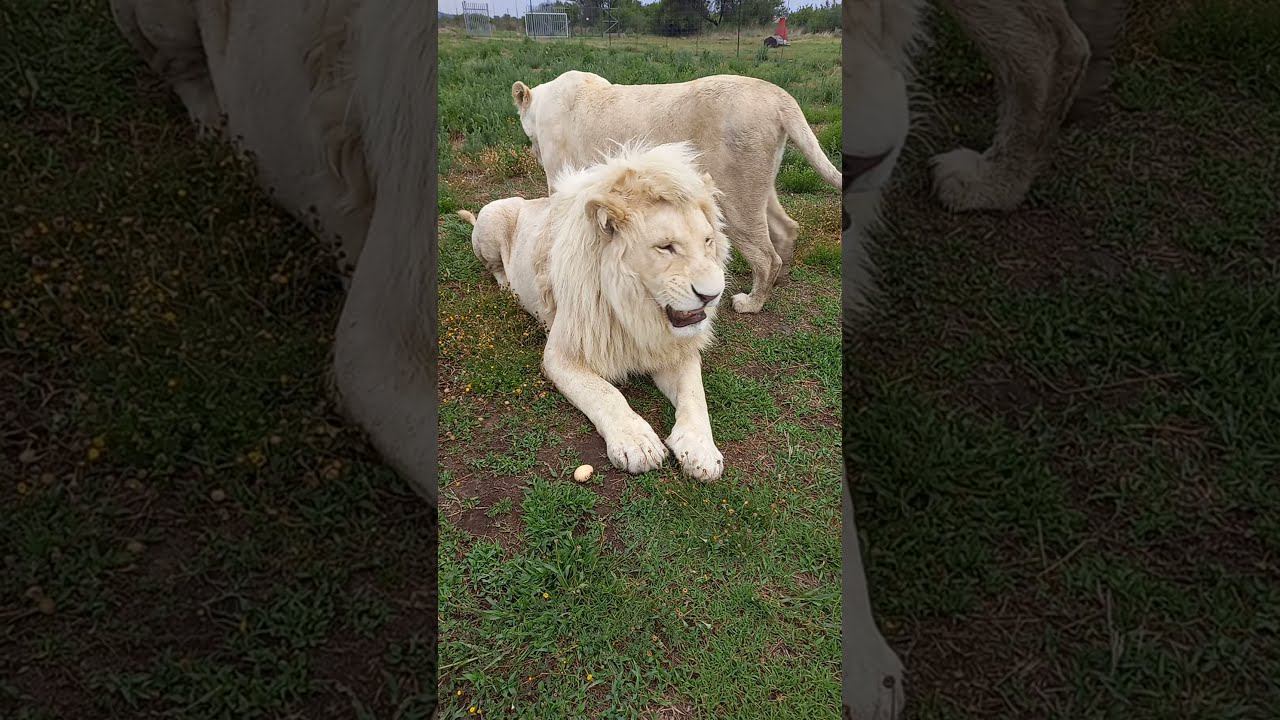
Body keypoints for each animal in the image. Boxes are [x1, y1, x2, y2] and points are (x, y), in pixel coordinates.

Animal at [456, 142, 731, 481]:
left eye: (708, 241)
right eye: (665, 247)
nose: (712, 296)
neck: (633, 311)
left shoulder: (673, 348)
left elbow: (695, 394)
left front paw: (701, 449)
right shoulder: (561, 354)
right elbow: (604, 393)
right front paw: (637, 443)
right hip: (492, 216)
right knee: (495, 269)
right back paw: (509, 288)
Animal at [509, 71, 846, 317]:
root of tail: (779, 96)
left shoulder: (560, 180)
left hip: (735, 192)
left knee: (765, 255)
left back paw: (751, 302)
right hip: (759, 185)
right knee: (787, 227)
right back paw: (782, 278)